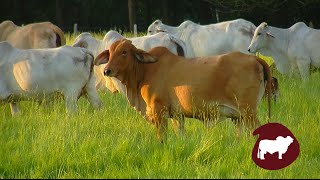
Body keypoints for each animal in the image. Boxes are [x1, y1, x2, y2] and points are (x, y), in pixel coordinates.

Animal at [94, 38, 272, 143]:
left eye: (124, 52)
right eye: (110, 53)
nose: (107, 70)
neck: (145, 70)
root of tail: (254, 58)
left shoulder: (159, 111)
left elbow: (162, 137)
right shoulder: (176, 115)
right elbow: (180, 134)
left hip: (248, 111)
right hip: (239, 117)